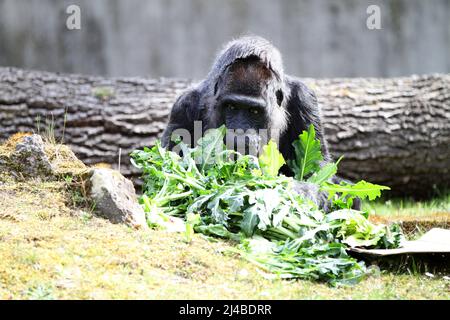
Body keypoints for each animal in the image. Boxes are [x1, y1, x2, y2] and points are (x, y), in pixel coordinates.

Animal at [162, 36, 358, 211]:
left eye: (254, 111)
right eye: (231, 107)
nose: (240, 134)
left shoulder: (305, 99)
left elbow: (320, 173)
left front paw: (302, 192)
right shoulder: (184, 105)